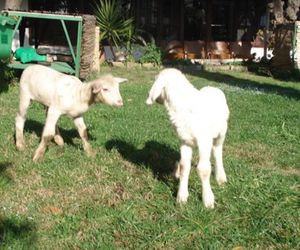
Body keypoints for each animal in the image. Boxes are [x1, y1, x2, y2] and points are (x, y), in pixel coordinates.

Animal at [146, 68, 230, 209]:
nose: (156, 100)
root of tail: (212, 87)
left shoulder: (204, 140)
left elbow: (204, 169)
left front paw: (208, 200)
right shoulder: (184, 141)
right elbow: (184, 166)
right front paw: (181, 197)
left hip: (221, 132)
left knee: (217, 152)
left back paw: (220, 177)